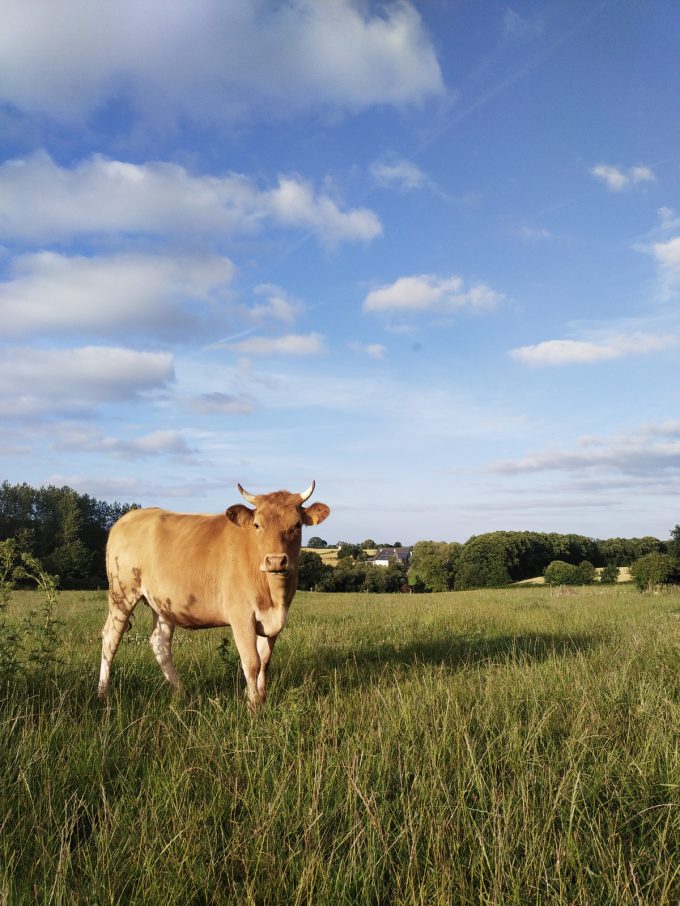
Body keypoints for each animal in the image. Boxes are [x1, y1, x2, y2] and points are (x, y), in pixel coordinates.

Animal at [98, 481, 330, 709]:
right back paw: (103, 693)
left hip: (162, 603)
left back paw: (182, 692)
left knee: (159, 643)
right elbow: (251, 662)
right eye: (257, 525)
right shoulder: (241, 616)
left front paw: (261, 699)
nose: (275, 561)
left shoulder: (273, 620)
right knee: (111, 638)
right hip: (121, 593)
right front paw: (253, 706)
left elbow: (264, 660)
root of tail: (129, 517)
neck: (274, 595)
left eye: (297, 525)